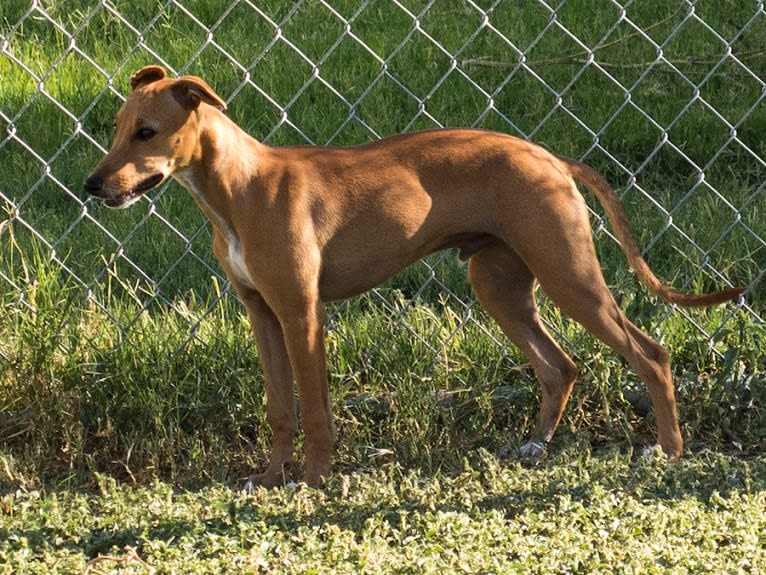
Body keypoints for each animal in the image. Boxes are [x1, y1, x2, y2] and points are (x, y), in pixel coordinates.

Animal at [82, 65, 744, 488]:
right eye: (115, 129)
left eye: (147, 133)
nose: (91, 185)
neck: (239, 189)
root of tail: (550, 158)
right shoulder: (263, 315)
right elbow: (279, 409)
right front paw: (269, 477)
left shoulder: (303, 314)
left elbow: (315, 409)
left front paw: (313, 480)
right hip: (500, 284)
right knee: (560, 366)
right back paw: (535, 447)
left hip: (570, 276)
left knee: (650, 354)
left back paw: (668, 452)